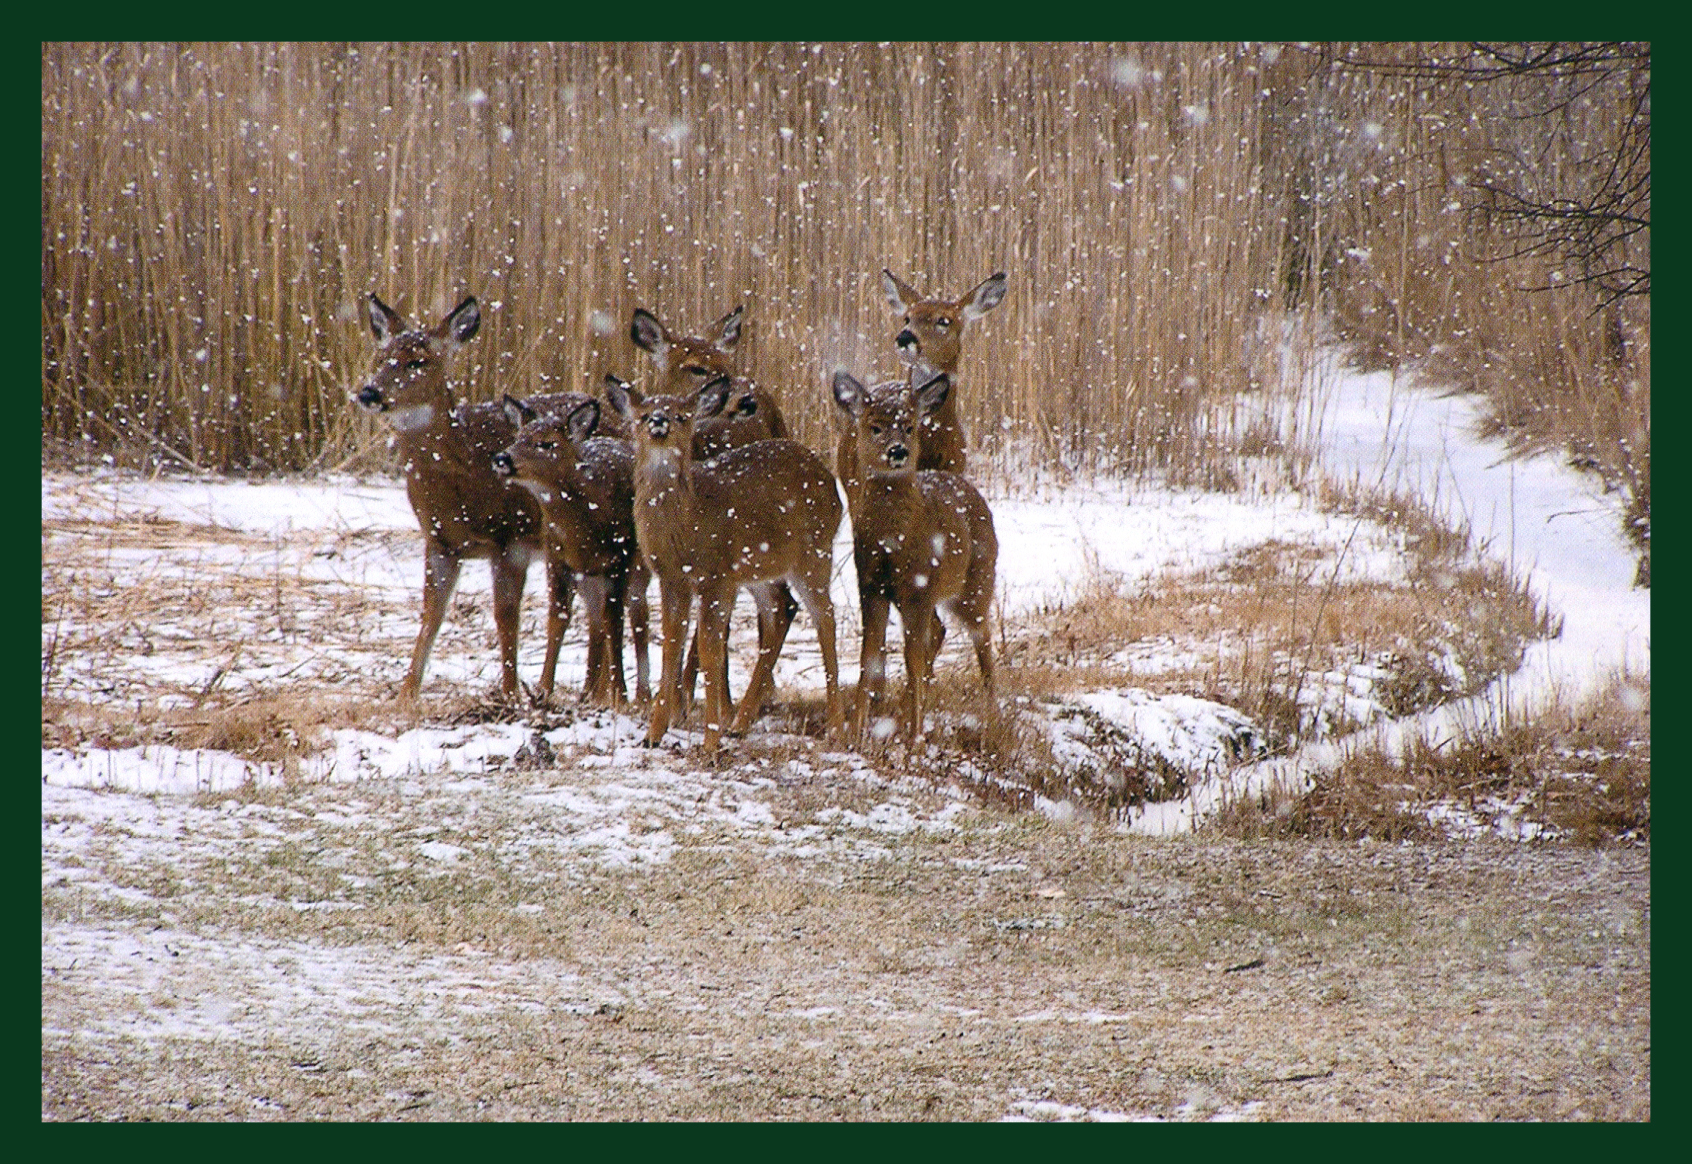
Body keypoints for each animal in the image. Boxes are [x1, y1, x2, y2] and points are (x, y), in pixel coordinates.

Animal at [353, 296, 578, 703]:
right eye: (381, 358)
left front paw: (509, 694)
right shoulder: (441, 541)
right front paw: (406, 694)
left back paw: (544, 688)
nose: (369, 393)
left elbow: (506, 615)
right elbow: (432, 612)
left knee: (561, 610)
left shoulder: (512, 536)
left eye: (418, 360)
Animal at [494, 395, 649, 710]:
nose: (502, 459)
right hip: (588, 577)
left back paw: (641, 696)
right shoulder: (556, 559)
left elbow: (615, 621)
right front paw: (542, 690)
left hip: (641, 565)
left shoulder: (619, 558)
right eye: (518, 437)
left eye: (546, 443)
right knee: (595, 621)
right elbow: (558, 618)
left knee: (638, 617)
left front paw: (620, 696)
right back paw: (590, 692)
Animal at [609, 375, 846, 754]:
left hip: (814, 554)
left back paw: (837, 728)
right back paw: (740, 724)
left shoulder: (716, 576)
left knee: (825, 618)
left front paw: (709, 742)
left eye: (681, 416)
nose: (659, 421)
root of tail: (832, 484)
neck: (687, 526)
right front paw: (653, 734)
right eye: (643, 415)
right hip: (759, 570)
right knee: (782, 609)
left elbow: (708, 649)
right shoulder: (672, 579)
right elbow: (671, 644)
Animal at [829, 368, 988, 741]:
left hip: (976, 582)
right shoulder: (871, 586)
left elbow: (912, 659)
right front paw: (857, 731)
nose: (898, 450)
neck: (892, 542)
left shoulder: (918, 587)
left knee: (982, 638)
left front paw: (915, 739)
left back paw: (993, 708)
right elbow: (870, 656)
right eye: (874, 426)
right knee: (941, 631)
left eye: (910, 426)